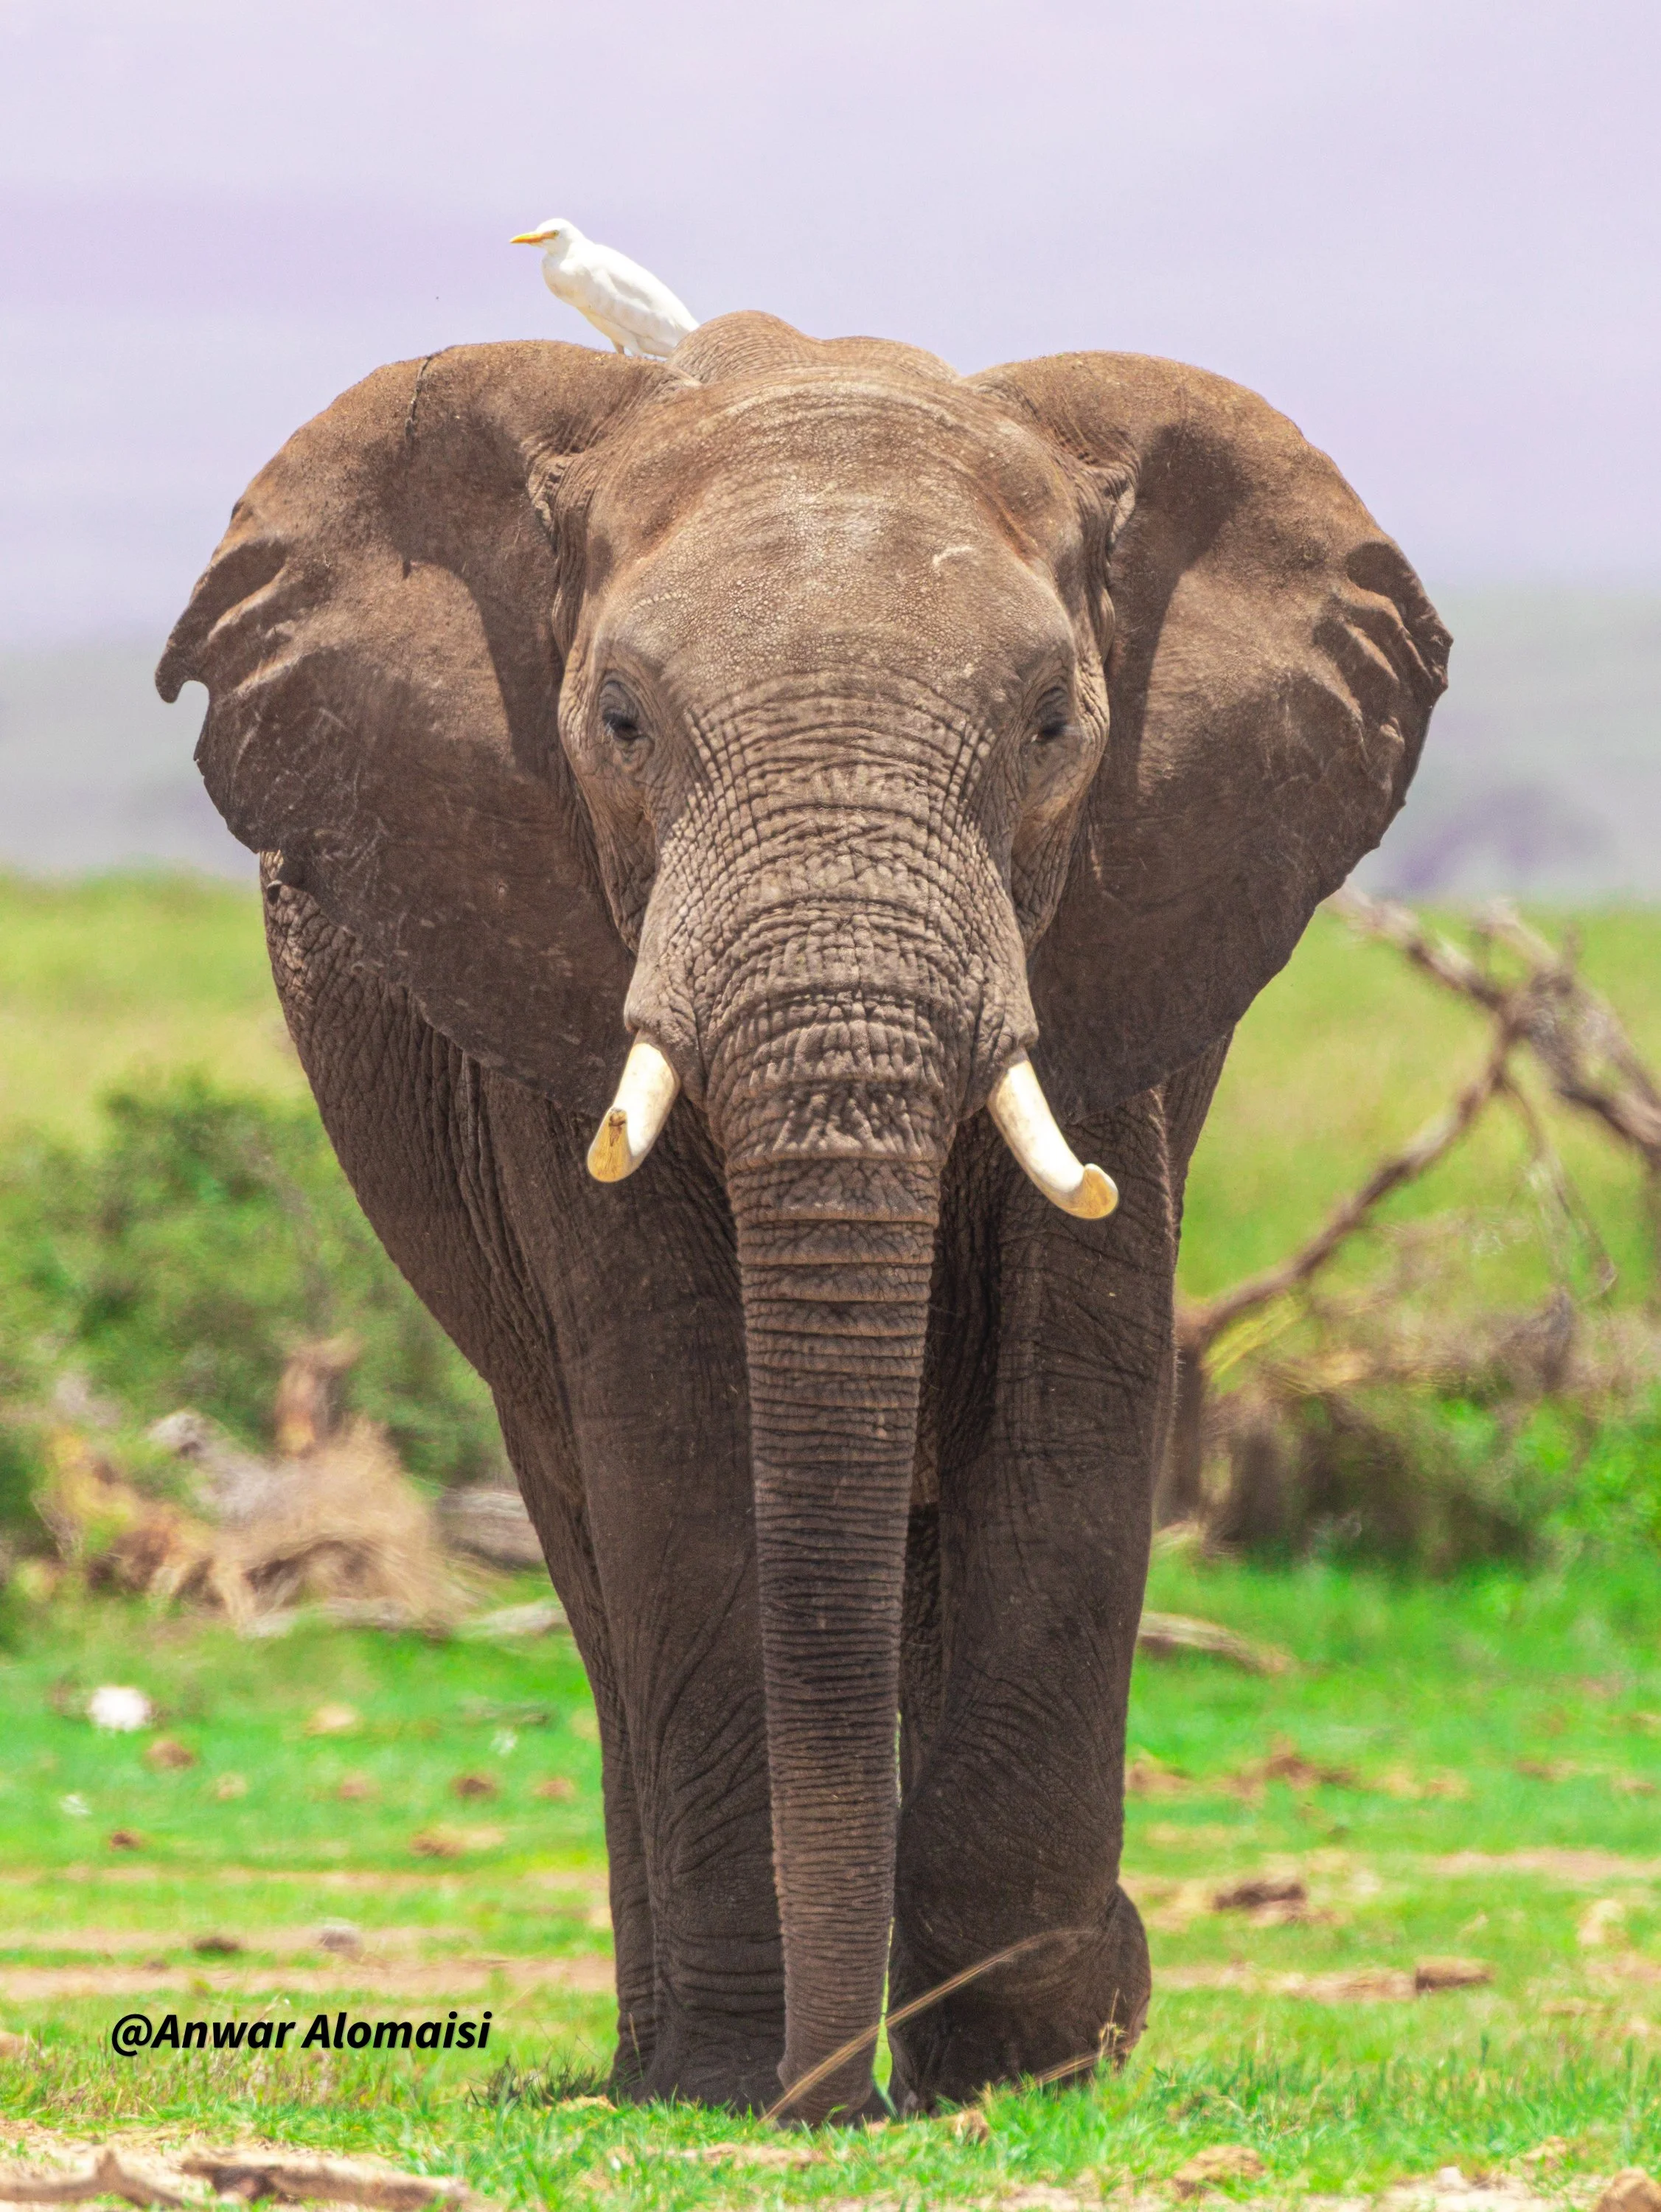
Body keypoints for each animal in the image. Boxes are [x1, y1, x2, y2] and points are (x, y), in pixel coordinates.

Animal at [159, 311, 1447, 2122]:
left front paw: (1034, 2053)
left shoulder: (1116, 959)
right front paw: (740, 2076)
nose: (829, 2099)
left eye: (1053, 726)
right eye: (618, 721)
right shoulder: (550, 952)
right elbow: (684, 1445)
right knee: (593, 1541)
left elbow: (1068, 1420)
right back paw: (667, 2054)